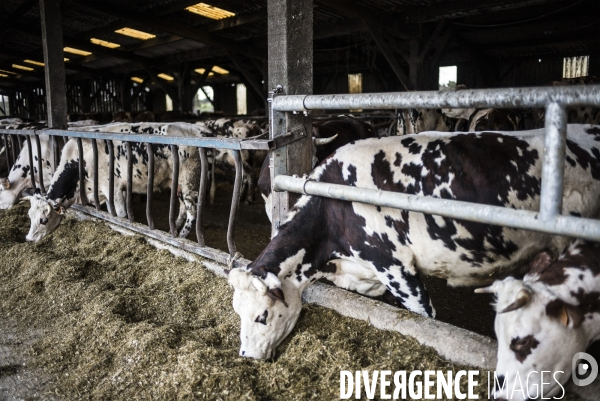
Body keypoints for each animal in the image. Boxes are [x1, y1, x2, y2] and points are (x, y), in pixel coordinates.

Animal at [25, 121, 209, 241]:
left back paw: (182, 237)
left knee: (192, 212)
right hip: (177, 184)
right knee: (183, 209)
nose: (28, 239)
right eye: (29, 216)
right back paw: (173, 230)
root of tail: (196, 129)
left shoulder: (112, 188)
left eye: (43, 220)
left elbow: (120, 215)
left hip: (189, 181)